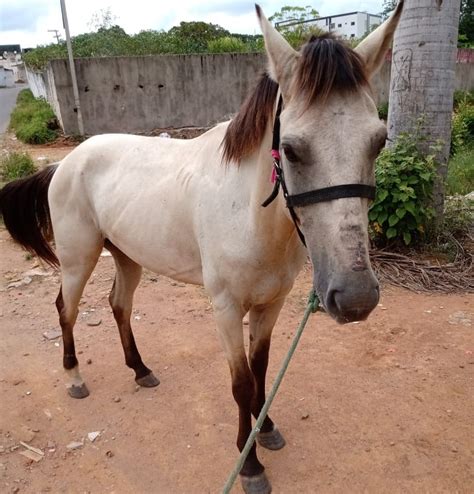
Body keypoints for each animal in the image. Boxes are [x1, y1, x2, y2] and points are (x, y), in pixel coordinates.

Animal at [0, 3, 404, 494]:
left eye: (378, 141)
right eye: (290, 148)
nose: (355, 297)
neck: (248, 215)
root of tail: (66, 162)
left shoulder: (271, 305)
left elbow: (261, 372)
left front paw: (265, 431)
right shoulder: (226, 308)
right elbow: (241, 383)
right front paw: (249, 465)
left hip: (128, 256)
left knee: (118, 305)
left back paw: (140, 370)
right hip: (79, 258)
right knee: (66, 309)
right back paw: (75, 377)